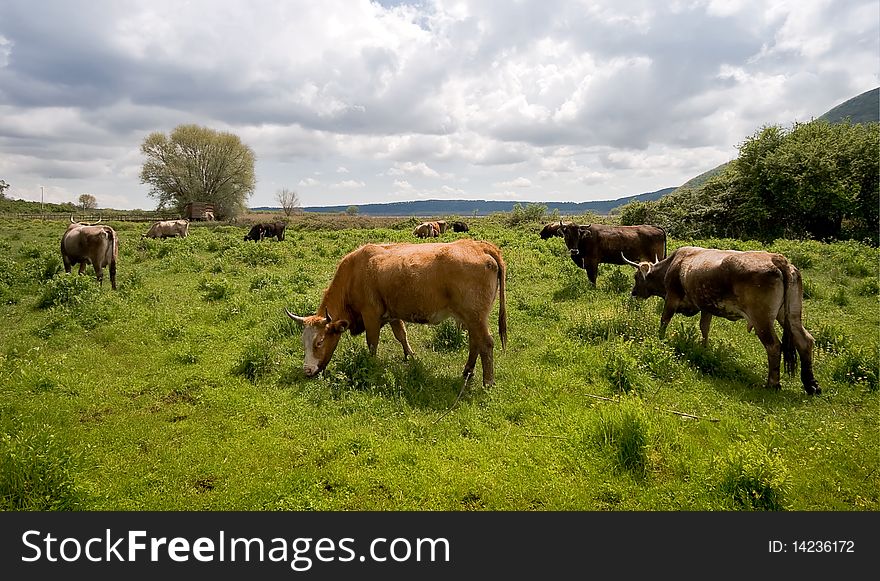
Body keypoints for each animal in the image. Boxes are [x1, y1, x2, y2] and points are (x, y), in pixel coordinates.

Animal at [288, 238, 508, 388]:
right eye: (303, 342)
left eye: (319, 342)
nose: (307, 370)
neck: (355, 272)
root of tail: (478, 246)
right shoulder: (393, 315)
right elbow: (401, 335)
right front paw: (410, 356)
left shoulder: (371, 316)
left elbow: (372, 343)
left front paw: (372, 365)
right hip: (470, 318)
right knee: (475, 342)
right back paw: (467, 371)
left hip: (475, 317)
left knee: (485, 343)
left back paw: (487, 382)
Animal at [624, 245, 820, 394]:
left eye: (636, 277)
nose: (633, 292)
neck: (673, 265)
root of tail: (778, 260)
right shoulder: (706, 307)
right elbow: (704, 328)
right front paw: (704, 348)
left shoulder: (671, 298)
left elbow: (664, 321)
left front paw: (660, 339)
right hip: (790, 315)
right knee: (805, 340)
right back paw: (811, 384)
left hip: (761, 319)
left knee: (774, 346)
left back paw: (773, 384)